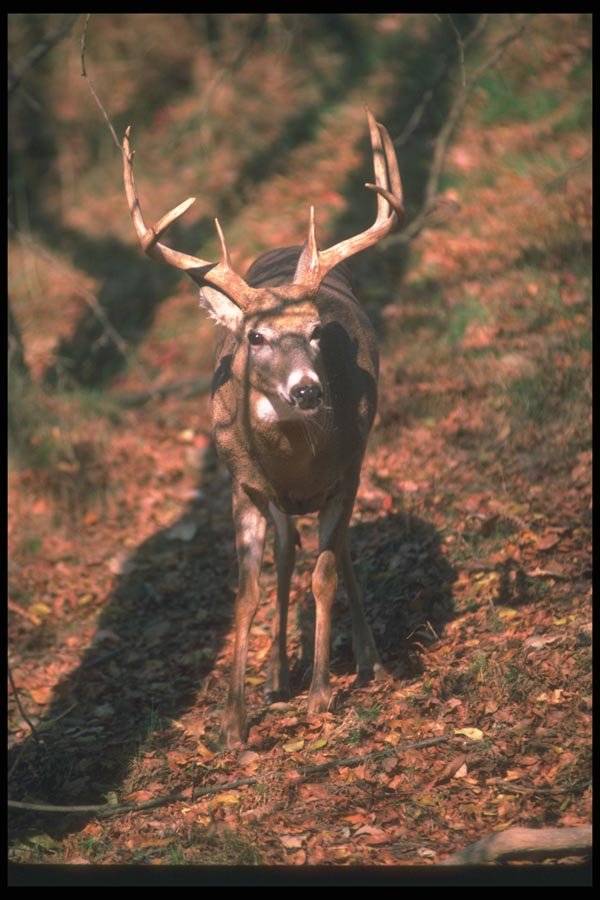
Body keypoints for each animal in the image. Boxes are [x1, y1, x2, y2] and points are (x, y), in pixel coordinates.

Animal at [122, 108, 403, 747]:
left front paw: (321, 695)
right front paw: (234, 721)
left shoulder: (343, 474)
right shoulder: (243, 486)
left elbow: (325, 575)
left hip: (356, 468)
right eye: (256, 336)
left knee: (337, 552)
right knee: (287, 549)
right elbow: (247, 592)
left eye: (318, 331)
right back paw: (277, 676)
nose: (308, 390)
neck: (296, 463)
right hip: (271, 498)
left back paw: (368, 660)